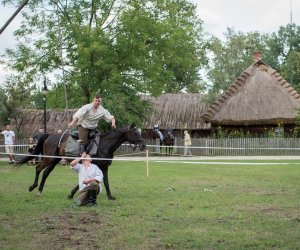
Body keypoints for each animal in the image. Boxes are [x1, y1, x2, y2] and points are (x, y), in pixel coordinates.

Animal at [17, 122, 146, 200]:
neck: (104, 145)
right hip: (49, 159)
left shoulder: (104, 167)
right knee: (38, 168)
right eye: (135, 132)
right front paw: (71, 194)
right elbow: (85, 180)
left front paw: (110, 196)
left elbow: (106, 182)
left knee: (45, 173)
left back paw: (39, 190)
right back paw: (33, 187)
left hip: (54, 160)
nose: (143, 145)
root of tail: (49, 135)